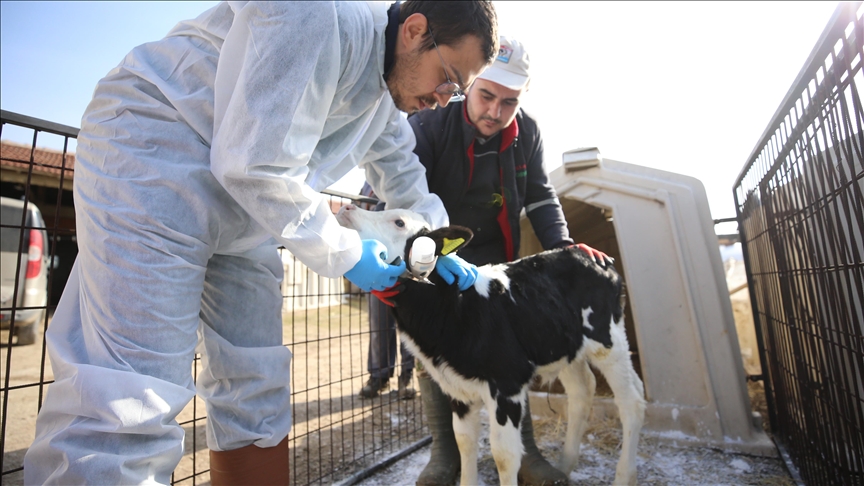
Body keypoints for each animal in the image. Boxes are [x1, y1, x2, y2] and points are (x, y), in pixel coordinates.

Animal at [334, 203, 644, 484]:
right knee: (583, 390)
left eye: (399, 222)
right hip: (563, 345)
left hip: (608, 341)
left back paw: (624, 476)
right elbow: (464, 442)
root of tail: (588, 253)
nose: (346, 207)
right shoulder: (457, 387)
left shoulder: (507, 382)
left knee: (632, 401)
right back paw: (565, 467)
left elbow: (505, 455)